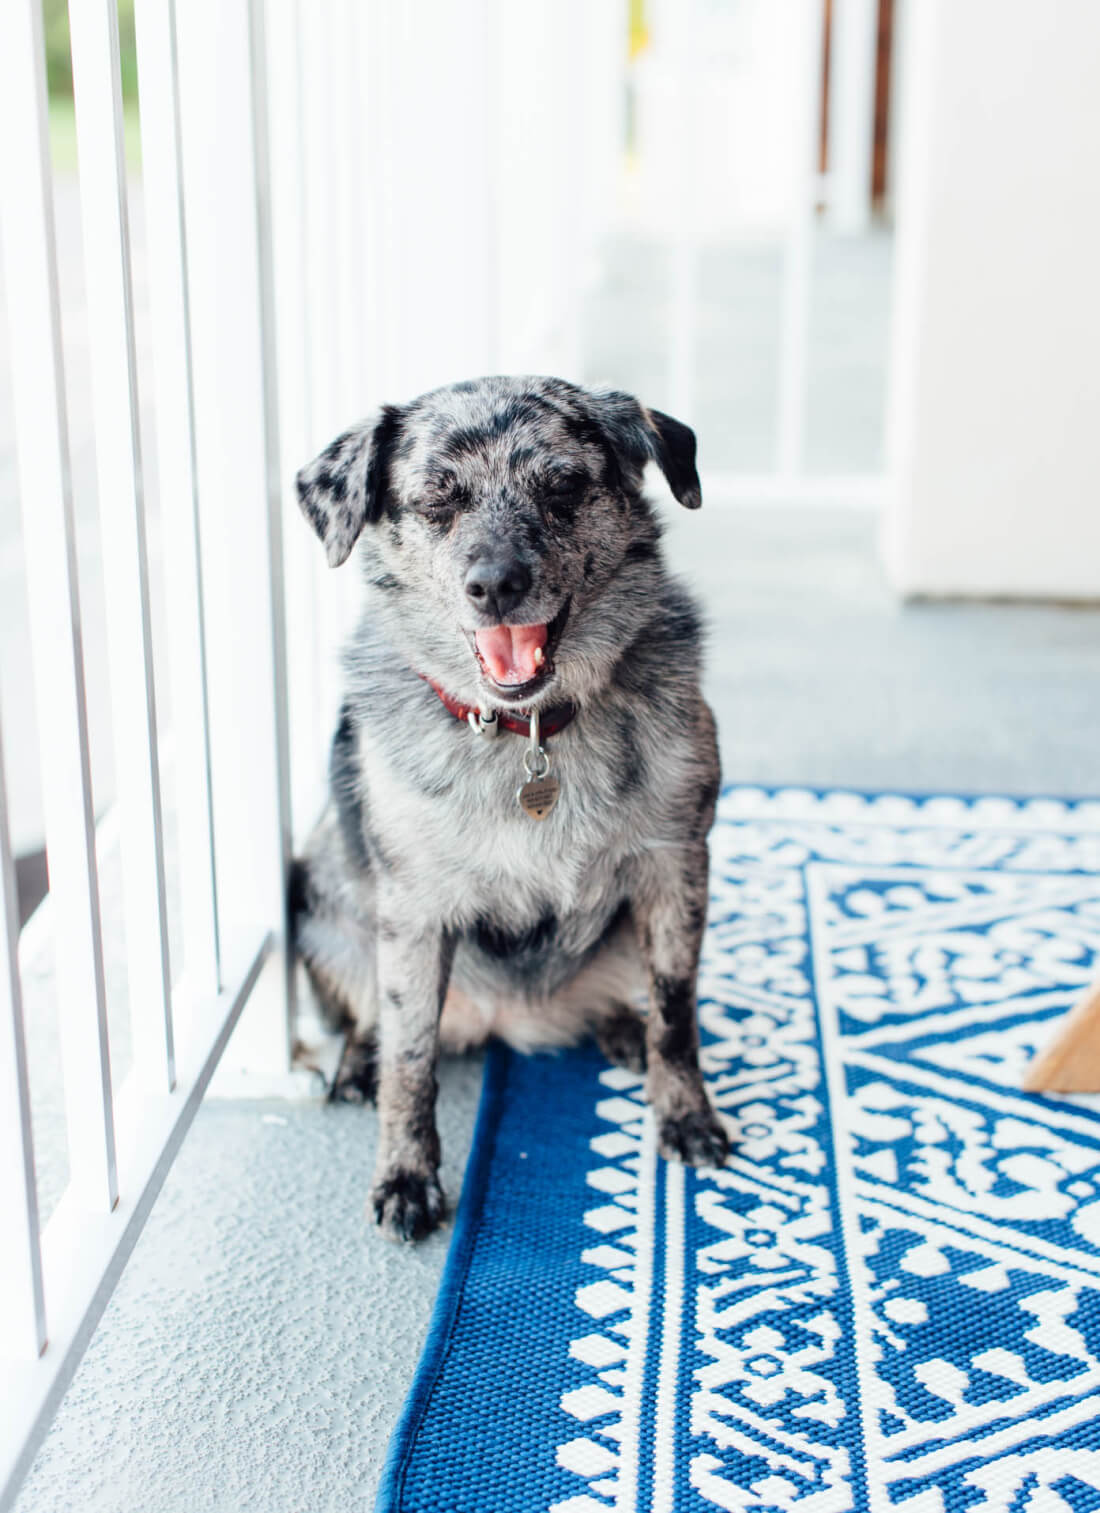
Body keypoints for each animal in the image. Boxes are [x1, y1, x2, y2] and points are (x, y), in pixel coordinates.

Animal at [290, 375, 732, 1240]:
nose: (495, 584)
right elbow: (410, 1057)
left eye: (562, 486)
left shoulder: (676, 867)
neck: (528, 731)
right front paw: (406, 1175)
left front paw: (685, 1113)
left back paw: (618, 1027)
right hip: (320, 891)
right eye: (435, 499)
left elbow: (675, 1011)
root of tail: (504, 1021)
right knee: (366, 1019)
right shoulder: (415, 912)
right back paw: (354, 1062)